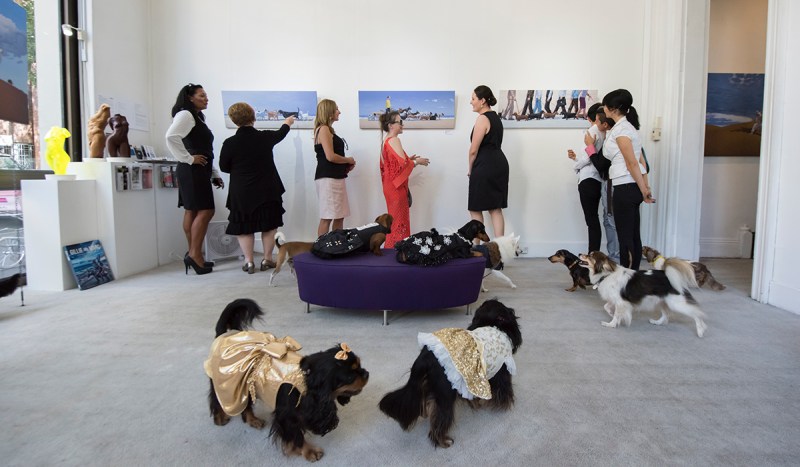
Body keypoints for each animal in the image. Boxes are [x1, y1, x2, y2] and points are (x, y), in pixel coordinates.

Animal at [205, 300, 370, 464]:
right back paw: (220, 417)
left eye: (360, 366)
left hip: (245, 385)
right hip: (225, 382)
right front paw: (309, 452)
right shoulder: (287, 417)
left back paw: (253, 420)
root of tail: (225, 334)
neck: (306, 380)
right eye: (350, 377)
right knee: (216, 398)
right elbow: (297, 436)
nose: (366, 373)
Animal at [378, 300, 520, 450]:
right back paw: (443, 441)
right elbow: (504, 391)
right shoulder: (502, 371)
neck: (490, 324)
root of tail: (425, 357)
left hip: (430, 385)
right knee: (439, 422)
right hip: (445, 395)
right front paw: (503, 406)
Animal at [580, 250, 708, 338]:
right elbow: (606, 307)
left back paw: (701, 330)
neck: (606, 274)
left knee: (697, 314)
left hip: (676, 304)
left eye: (590, 255)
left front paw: (611, 324)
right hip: (662, 301)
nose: (580, 253)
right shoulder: (616, 300)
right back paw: (657, 322)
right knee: (666, 314)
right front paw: (611, 314)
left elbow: (617, 314)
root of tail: (669, 275)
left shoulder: (621, 302)